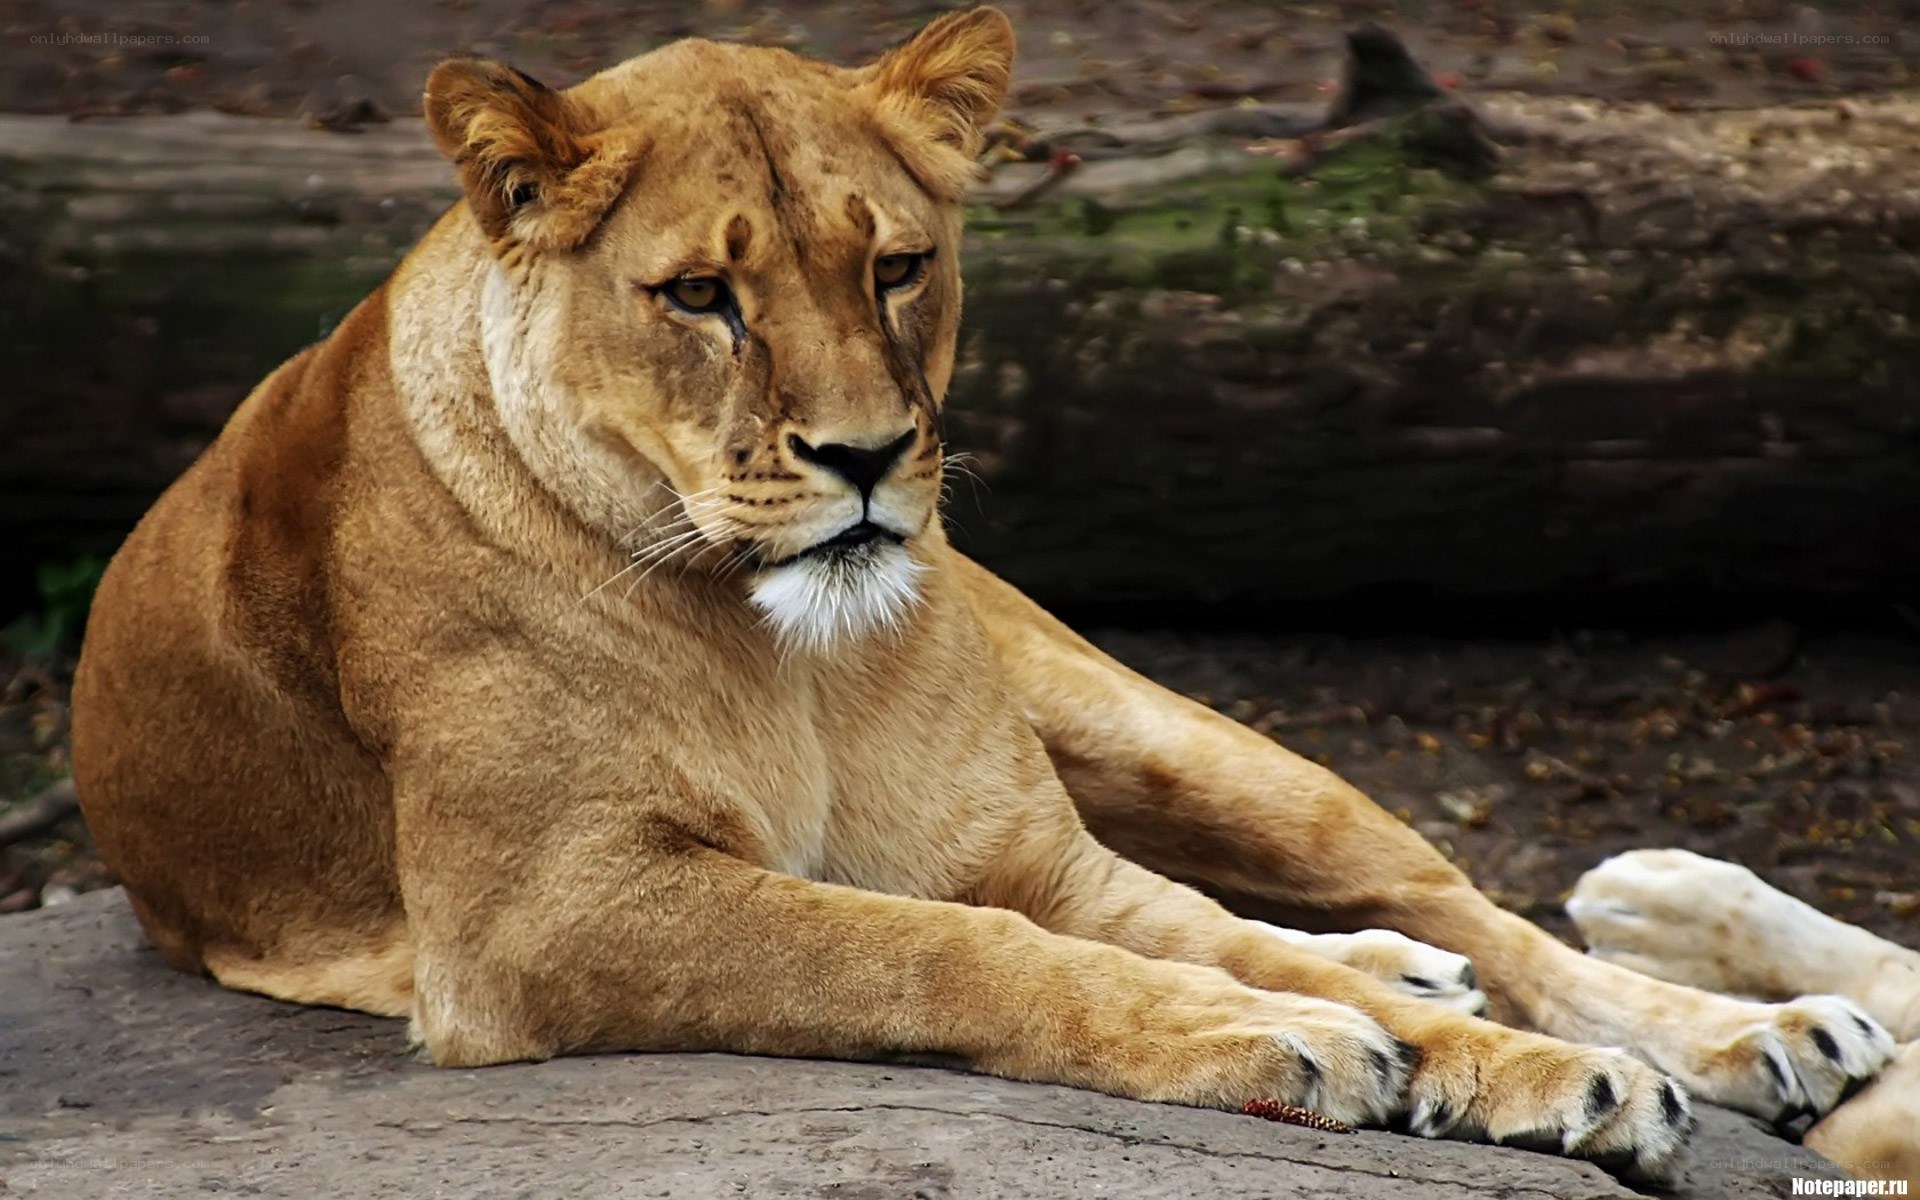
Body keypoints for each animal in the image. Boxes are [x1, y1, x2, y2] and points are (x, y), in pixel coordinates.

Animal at [69, 8, 1892, 1185]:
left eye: (896, 264)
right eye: (702, 296)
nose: (871, 457)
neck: (788, 655)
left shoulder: (1027, 851)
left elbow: (1170, 938)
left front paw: (1542, 1073)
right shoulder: (543, 917)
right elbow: (951, 952)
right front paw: (1302, 1041)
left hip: (1165, 729)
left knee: (1462, 901)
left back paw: (1757, 1033)